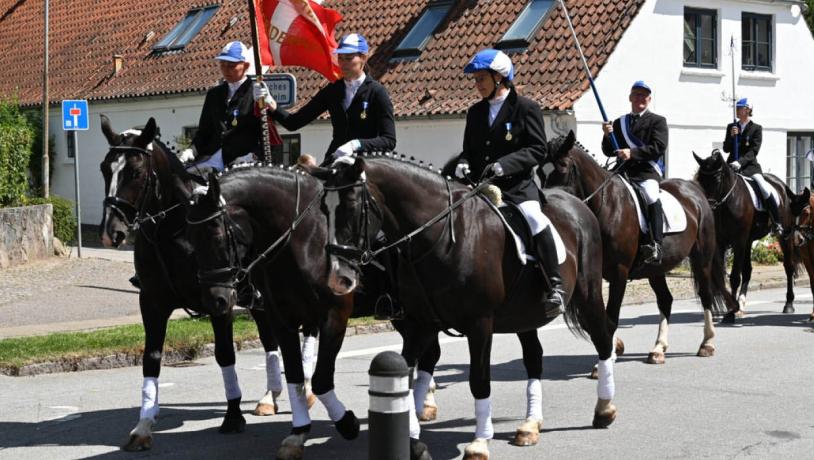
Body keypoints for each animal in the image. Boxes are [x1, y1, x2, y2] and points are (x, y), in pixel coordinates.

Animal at [97, 117, 298, 452]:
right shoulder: (151, 303)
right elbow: (151, 358)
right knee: (270, 340)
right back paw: (270, 397)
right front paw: (143, 426)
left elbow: (225, 354)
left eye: (136, 172)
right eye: (104, 169)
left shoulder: (220, 301)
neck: (173, 232)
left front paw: (232, 417)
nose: (110, 233)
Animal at [322, 155, 616, 460]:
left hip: (589, 294)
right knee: (534, 358)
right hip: (525, 316)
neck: (442, 237)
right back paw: (530, 425)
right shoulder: (421, 324)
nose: (338, 277)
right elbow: (408, 373)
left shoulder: (479, 324)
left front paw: (479, 442)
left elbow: (479, 380)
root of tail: (576, 202)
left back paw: (604, 407)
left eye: (352, 205)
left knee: (603, 339)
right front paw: (413, 442)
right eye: (323, 208)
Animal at [544, 131, 736, 364]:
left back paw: (706, 344)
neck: (607, 205)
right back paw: (658, 349)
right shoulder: (595, 274)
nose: (548, 206)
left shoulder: (619, 272)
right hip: (656, 268)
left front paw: (606, 357)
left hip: (702, 259)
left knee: (706, 294)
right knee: (665, 300)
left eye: (562, 165)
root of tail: (694, 191)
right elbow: (600, 317)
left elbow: (611, 316)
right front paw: (615, 347)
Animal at [696, 151, 804, 316]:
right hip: (749, 241)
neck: (728, 201)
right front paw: (729, 306)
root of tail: (781, 185)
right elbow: (722, 277)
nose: (707, 206)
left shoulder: (738, 241)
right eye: (700, 179)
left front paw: (730, 313)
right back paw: (741, 304)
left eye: (717, 179)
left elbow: (734, 276)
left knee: (788, 266)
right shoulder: (721, 243)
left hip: (783, 236)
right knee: (748, 271)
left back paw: (789, 304)